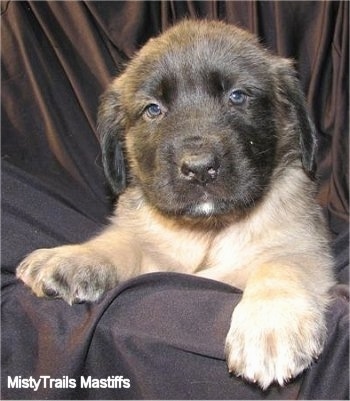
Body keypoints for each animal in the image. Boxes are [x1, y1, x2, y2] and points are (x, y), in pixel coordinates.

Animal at [17, 19, 334, 388]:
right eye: (154, 109)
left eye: (238, 96)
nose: (199, 168)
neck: (208, 231)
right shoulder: (156, 253)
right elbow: (122, 240)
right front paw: (73, 257)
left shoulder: (304, 244)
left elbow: (280, 263)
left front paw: (271, 324)